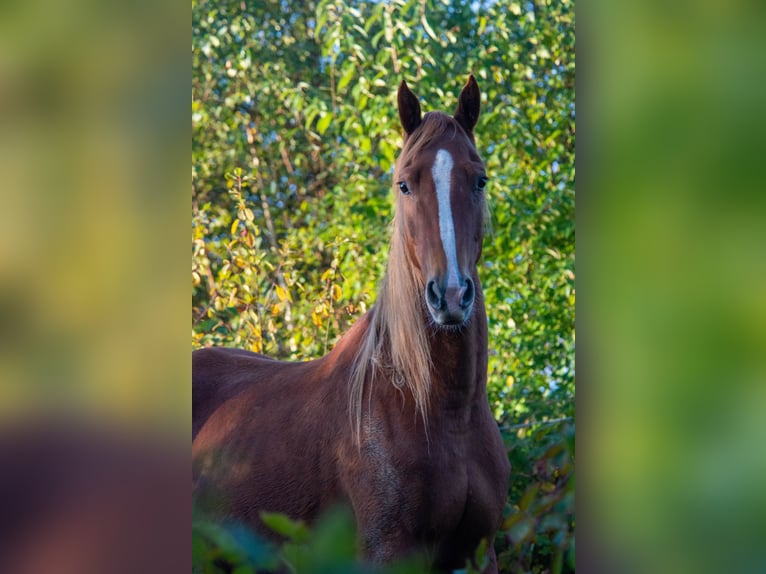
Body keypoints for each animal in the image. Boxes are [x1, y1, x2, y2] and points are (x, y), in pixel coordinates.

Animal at [195, 75, 512, 572]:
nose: (451, 295)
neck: (440, 409)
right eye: (404, 184)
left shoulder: (479, 554)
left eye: (479, 180)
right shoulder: (387, 552)